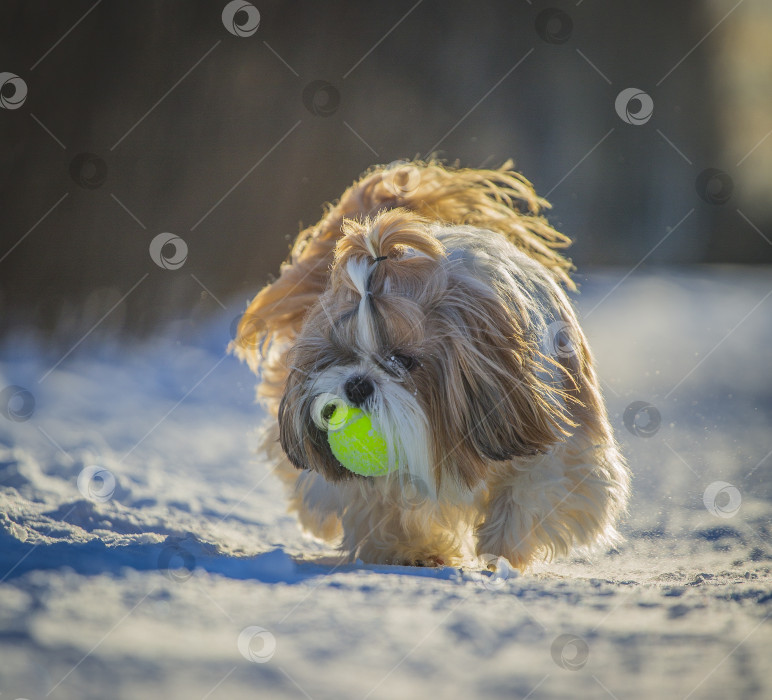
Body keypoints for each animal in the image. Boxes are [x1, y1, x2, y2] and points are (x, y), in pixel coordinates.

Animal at [232, 160, 632, 568]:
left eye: (404, 360)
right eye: (341, 356)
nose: (356, 384)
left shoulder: (559, 439)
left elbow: (530, 491)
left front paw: (502, 550)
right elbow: (383, 504)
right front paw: (413, 550)